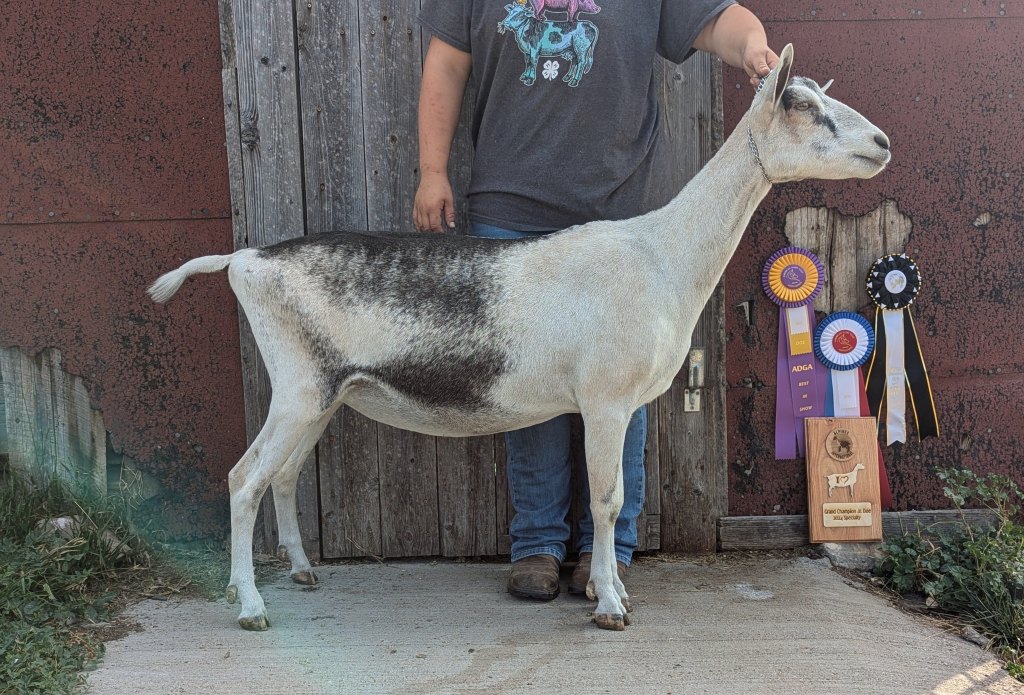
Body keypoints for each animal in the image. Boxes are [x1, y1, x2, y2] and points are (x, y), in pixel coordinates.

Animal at [148, 44, 890, 632]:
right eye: (801, 104)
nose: (882, 143)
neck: (661, 254)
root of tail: (244, 260)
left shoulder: (624, 405)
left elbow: (611, 498)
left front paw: (610, 590)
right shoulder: (605, 400)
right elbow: (605, 497)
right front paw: (610, 605)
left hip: (321, 395)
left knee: (282, 474)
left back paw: (301, 572)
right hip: (300, 386)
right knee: (244, 479)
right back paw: (249, 605)